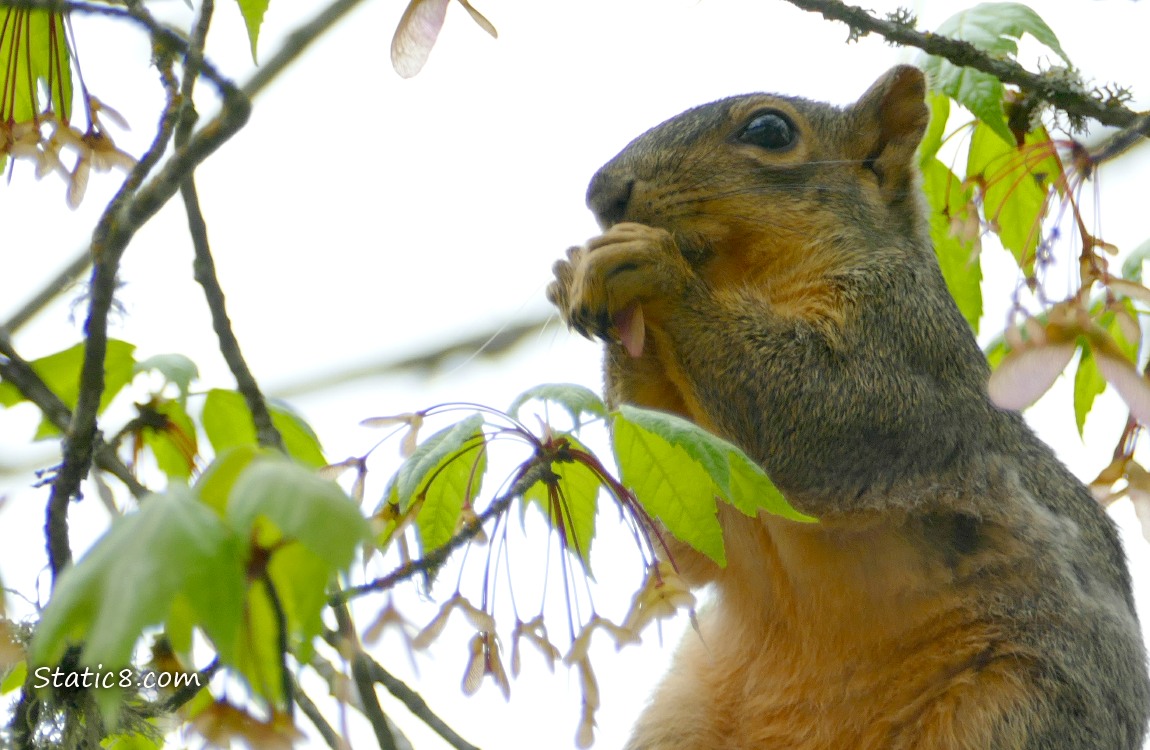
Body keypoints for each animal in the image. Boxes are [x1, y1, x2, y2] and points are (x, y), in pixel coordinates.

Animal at [547, 65, 1150, 749]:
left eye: (770, 130)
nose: (603, 194)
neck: (753, 280)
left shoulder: (905, 348)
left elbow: (820, 411)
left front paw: (654, 269)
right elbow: (690, 525)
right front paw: (574, 273)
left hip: (1022, 707)